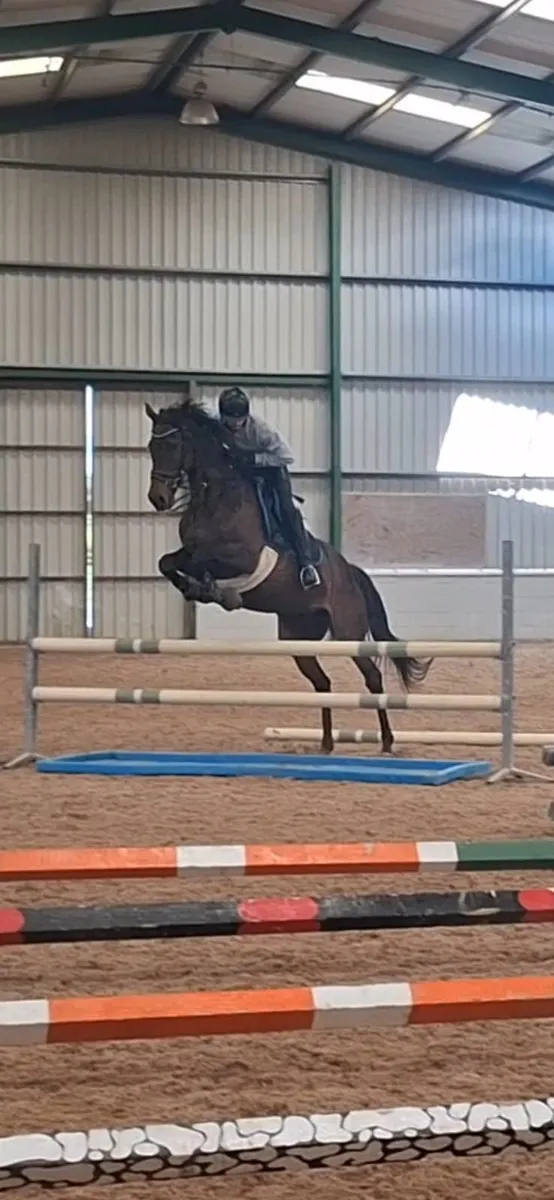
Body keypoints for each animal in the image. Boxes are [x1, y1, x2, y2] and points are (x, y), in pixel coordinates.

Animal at [145, 394, 431, 754]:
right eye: (151, 447)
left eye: (173, 445)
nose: (157, 498)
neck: (217, 496)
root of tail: (351, 572)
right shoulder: (189, 552)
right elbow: (167, 563)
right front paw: (197, 588)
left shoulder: (242, 559)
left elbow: (206, 563)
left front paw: (215, 591)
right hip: (299, 637)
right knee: (322, 682)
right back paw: (326, 743)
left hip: (347, 632)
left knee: (372, 677)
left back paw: (388, 742)